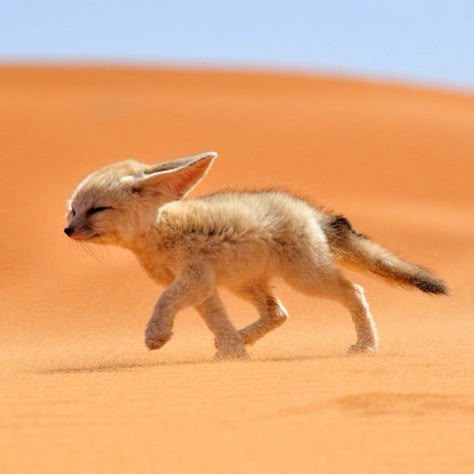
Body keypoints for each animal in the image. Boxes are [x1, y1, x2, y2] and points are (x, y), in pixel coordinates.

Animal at [65, 152, 446, 360]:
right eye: (73, 210)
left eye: (97, 209)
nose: (67, 230)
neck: (160, 231)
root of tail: (308, 210)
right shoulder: (204, 286)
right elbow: (216, 319)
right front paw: (233, 351)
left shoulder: (193, 278)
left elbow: (164, 301)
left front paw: (156, 335)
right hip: (245, 284)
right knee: (278, 313)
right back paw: (241, 338)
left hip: (306, 279)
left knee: (354, 291)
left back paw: (366, 345)